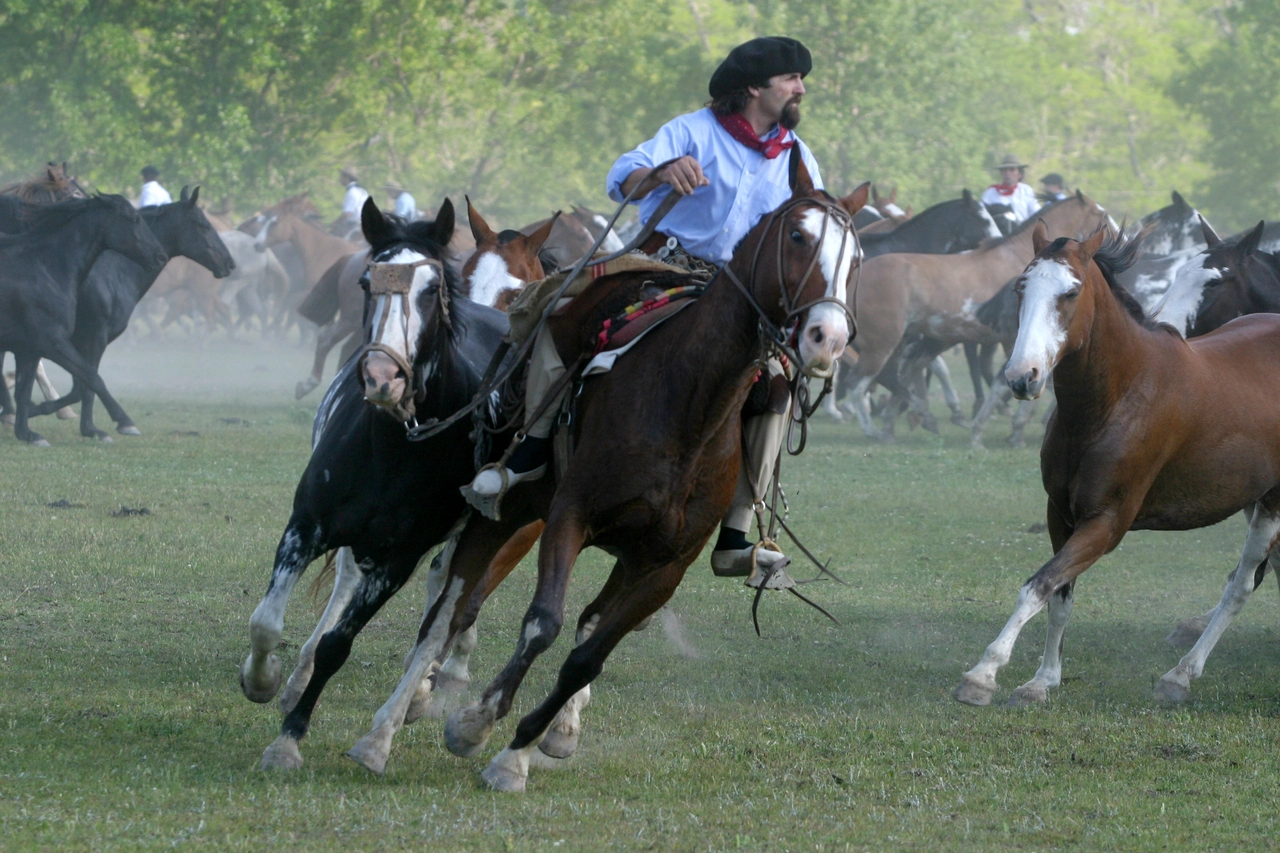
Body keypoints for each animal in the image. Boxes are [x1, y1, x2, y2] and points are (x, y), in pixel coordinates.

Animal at [0, 194, 167, 440]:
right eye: (134, 219)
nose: (160, 256)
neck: (46, 268)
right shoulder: (53, 343)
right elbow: (92, 378)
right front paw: (124, 422)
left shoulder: (29, 349)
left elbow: (25, 390)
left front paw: (28, 434)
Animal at [337, 162, 870, 788]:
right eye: (798, 237)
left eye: (855, 259)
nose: (827, 338)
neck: (687, 404)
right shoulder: (568, 517)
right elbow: (541, 623)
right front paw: (475, 723)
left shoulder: (663, 566)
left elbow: (587, 653)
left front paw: (516, 751)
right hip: (507, 514)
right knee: (448, 610)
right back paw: (382, 732)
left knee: (577, 620)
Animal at [952, 222, 1280, 706]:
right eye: (1020, 288)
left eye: (1071, 291)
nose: (1022, 377)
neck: (1117, 398)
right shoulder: (1061, 516)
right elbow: (1059, 595)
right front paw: (1043, 680)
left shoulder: (1106, 523)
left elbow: (1037, 586)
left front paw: (983, 674)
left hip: (1272, 504)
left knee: (1240, 585)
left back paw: (1180, 675)